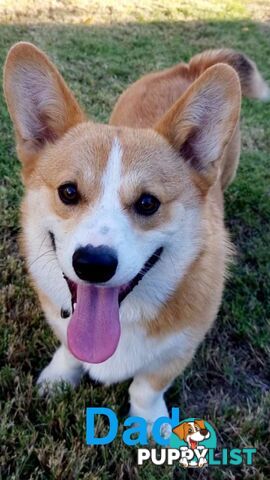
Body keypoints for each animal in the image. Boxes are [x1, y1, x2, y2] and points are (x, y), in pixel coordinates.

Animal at [3, 44, 268, 428]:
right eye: (68, 192)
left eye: (147, 202)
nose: (93, 264)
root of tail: (190, 68)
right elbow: (69, 348)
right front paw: (59, 378)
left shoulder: (180, 348)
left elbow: (146, 387)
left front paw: (149, 425)